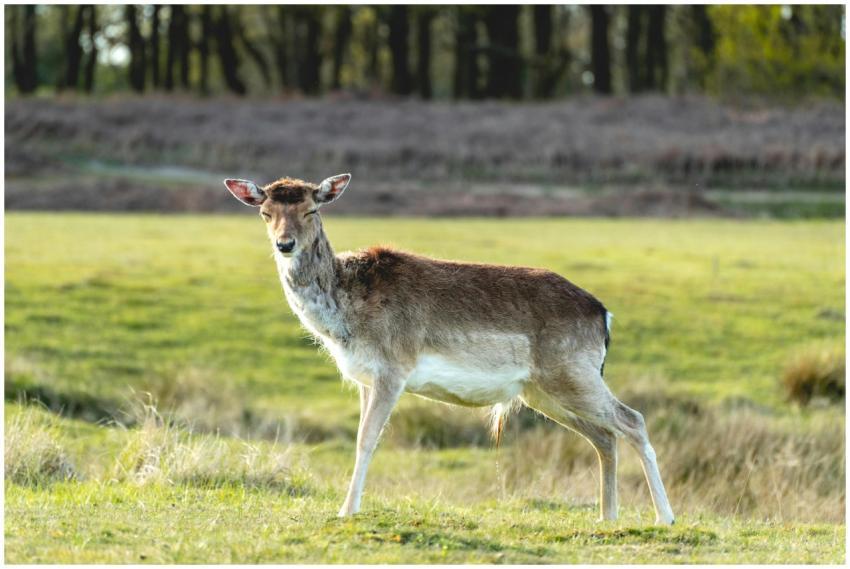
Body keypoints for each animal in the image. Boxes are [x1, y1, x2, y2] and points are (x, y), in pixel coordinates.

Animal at [223, 173, 675, 525]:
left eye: (312, 210)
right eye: (265, 213)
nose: (285, 244)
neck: (347, 316)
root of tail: (603, 315)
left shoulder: (394, 369)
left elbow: (367, 440)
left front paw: (346, 511)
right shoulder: (365, 378)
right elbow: (361, 438)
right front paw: (350, 506)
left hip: (572, 373)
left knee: (632, 420)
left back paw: (664, 517)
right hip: (542, 391)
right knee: (604, 436)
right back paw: (607, 516)